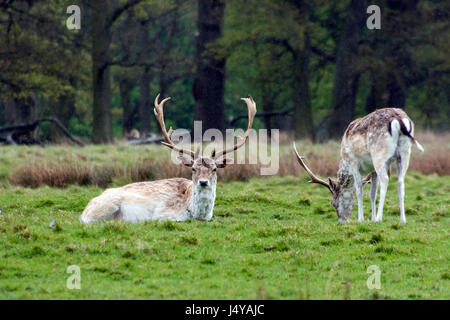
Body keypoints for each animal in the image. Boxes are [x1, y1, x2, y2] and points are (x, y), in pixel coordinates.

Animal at [81, 94, 256, 224]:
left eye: (214, 169)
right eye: (193, 168)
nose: (203, 182)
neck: (196, 213)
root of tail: (84, 211)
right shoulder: (163, 213)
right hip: (106, 206)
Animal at [294, 109, 424, 224]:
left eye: (333, 203)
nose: (341, 221)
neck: (344, 161)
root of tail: (399, 119)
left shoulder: (354, 163)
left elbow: (359, 191)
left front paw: (361, 219)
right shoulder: (373, 170)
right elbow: (372, 193)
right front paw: (371, 219)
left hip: (379, 153)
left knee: (385, 180)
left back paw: (379, 218)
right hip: (404, 153)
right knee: (401, 182)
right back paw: (402, 220)